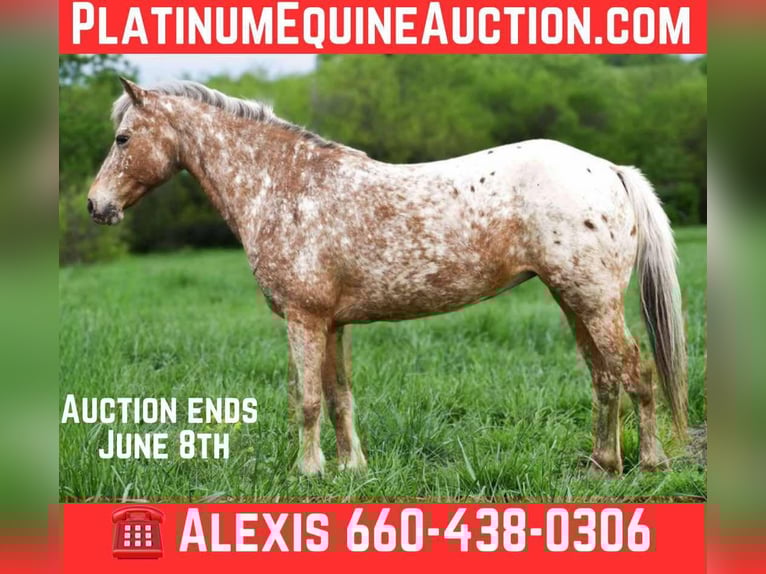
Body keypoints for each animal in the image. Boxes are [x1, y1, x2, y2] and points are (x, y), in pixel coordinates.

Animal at [88, 78, 687, 476]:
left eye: (122, 139)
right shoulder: (332, 324)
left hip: (594, 302)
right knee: (604, 376)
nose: (96, 206)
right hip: (573, 300)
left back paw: (651, 462)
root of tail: (608, 169)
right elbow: (338, 397)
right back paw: (603, 464)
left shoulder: (304, 319)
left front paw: (308, 472)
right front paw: (351, 469)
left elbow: (307, 399)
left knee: (636, 371)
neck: (285, 185)